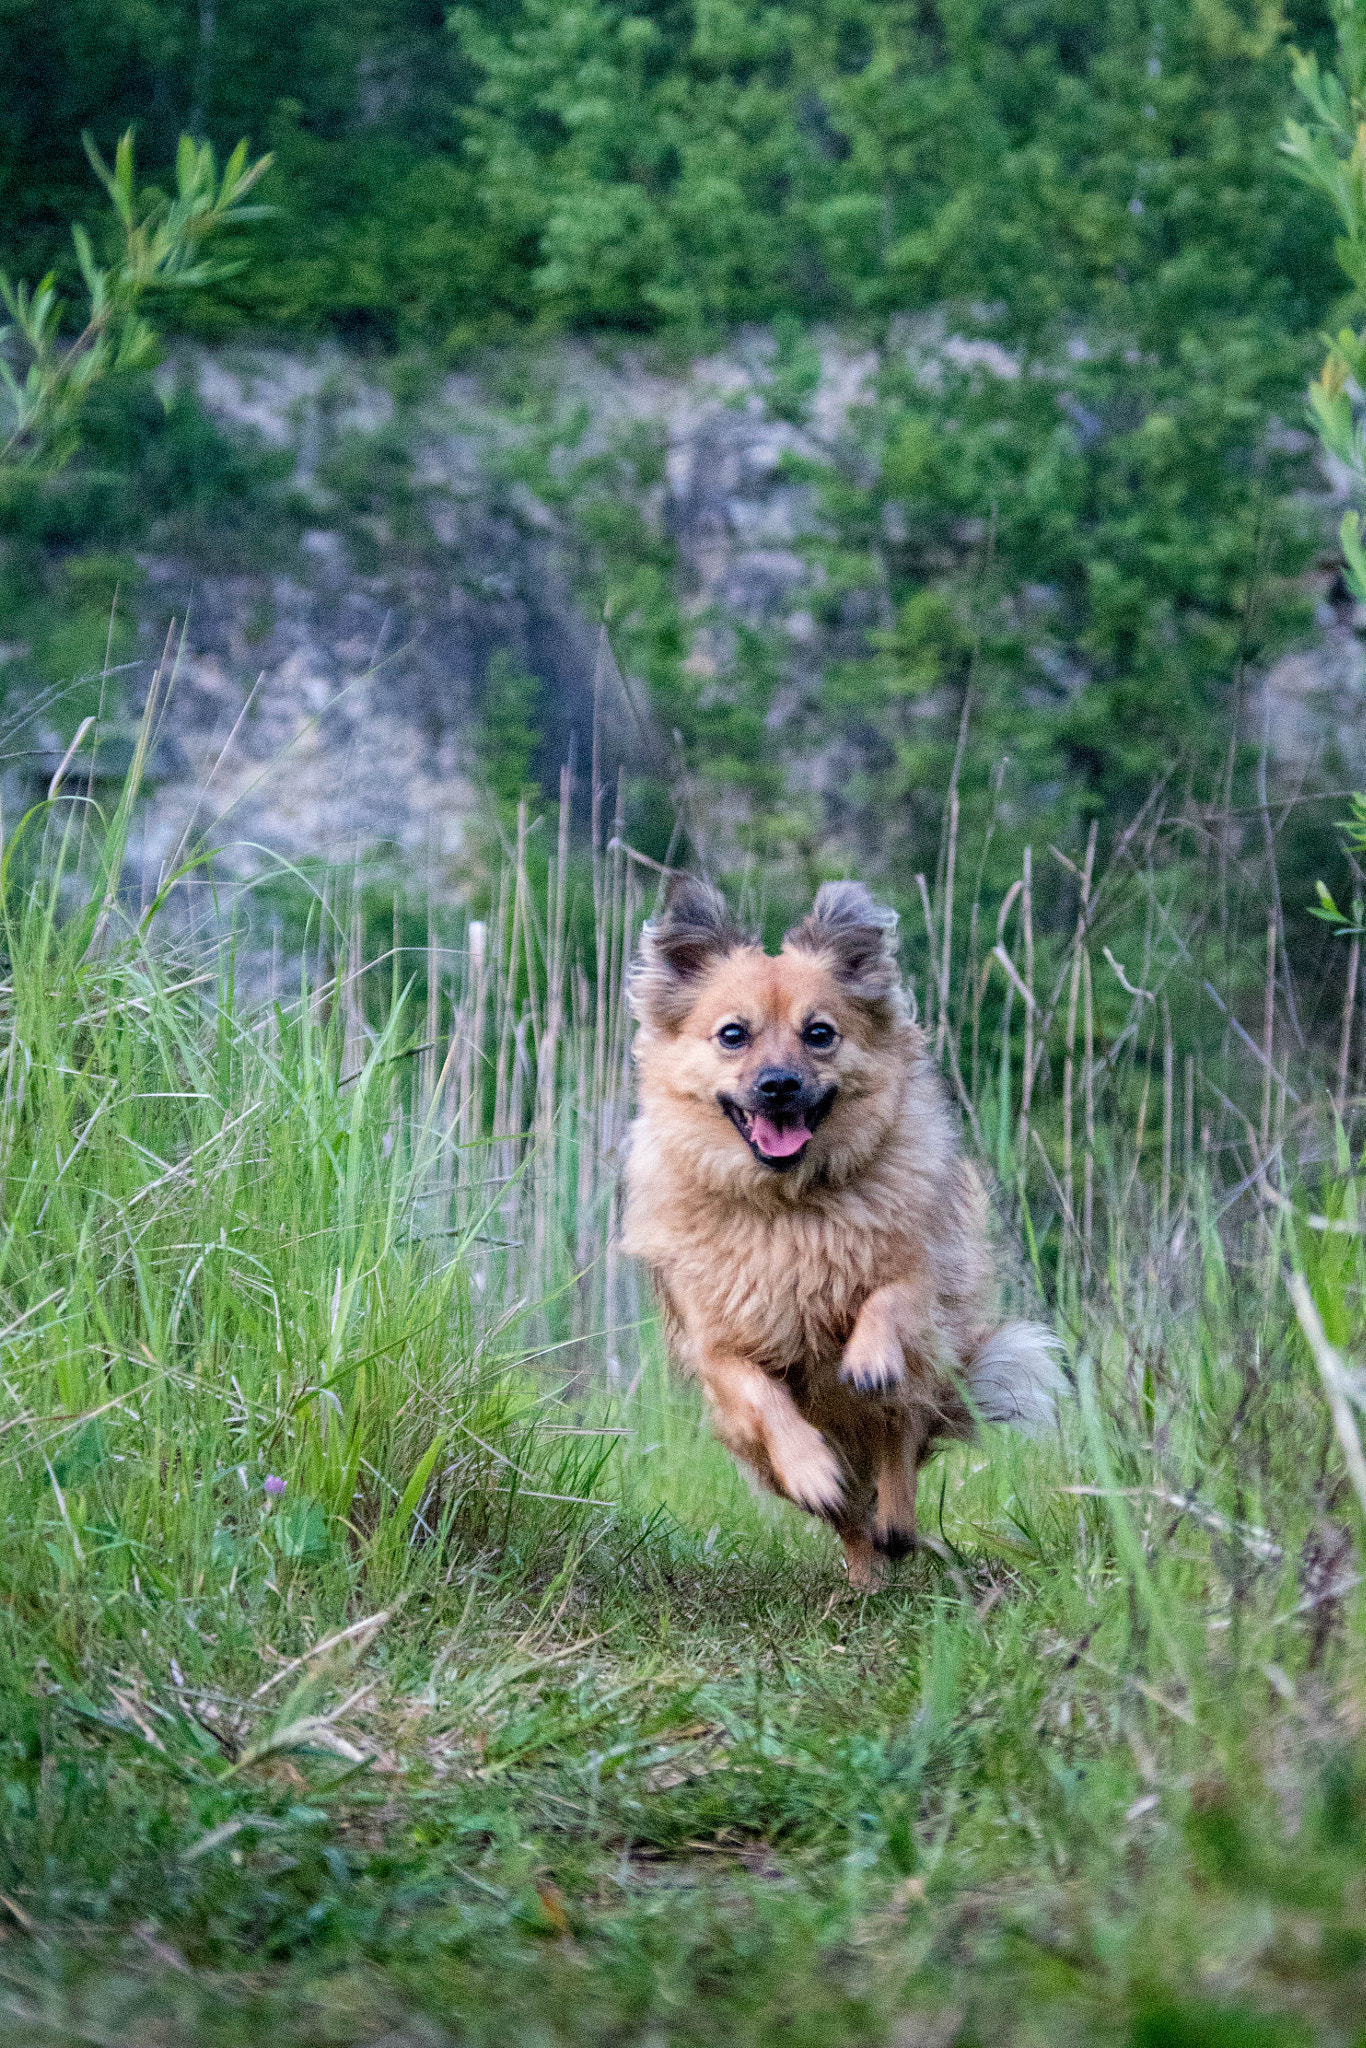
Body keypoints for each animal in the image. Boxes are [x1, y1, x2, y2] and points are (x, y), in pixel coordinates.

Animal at [626, 872, 1064, 1589]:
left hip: (919, 1386)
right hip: (756, 1453)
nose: (779, 1085)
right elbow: (762, 1396)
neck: (791, 1205)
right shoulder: (718, 1346)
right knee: (849, 1514)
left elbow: (893, 1293)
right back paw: (862, 1567)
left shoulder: (921, 1271)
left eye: (820, 1033)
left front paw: (868, 1355)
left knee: (898, 1443)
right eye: (733, 1035)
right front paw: (812, 1469)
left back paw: (896, 1521)